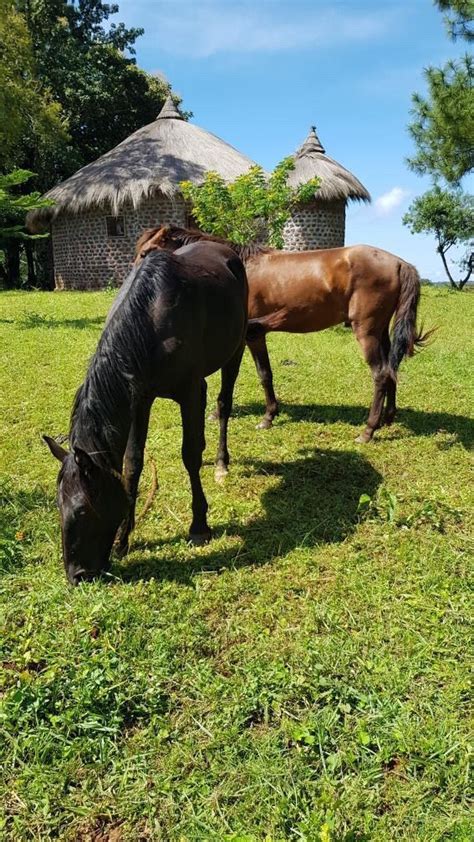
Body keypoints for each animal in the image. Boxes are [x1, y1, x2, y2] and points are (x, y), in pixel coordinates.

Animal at [43, 241, 248, 584]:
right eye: (57, 505)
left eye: (82, 509)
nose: (77, 576)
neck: (151, 317)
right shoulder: (139, 399)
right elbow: (132, 464)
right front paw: (123, 540)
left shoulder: (189, 392)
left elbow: (189, 455)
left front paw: (199, 525)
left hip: (236, 351)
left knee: (223, 404)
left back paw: (221, 463)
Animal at [135, 223, 428, 446]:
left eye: (146, 252)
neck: (237, 268)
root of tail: (400, 263)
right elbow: (266, 374)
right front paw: (268, 415)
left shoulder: (250, 336)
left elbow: (262, 375)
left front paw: (262, 417)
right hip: (380, 331)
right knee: (391, 368)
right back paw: (387, 418)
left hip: (366, 331)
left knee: (380, 374)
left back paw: (368, 430)